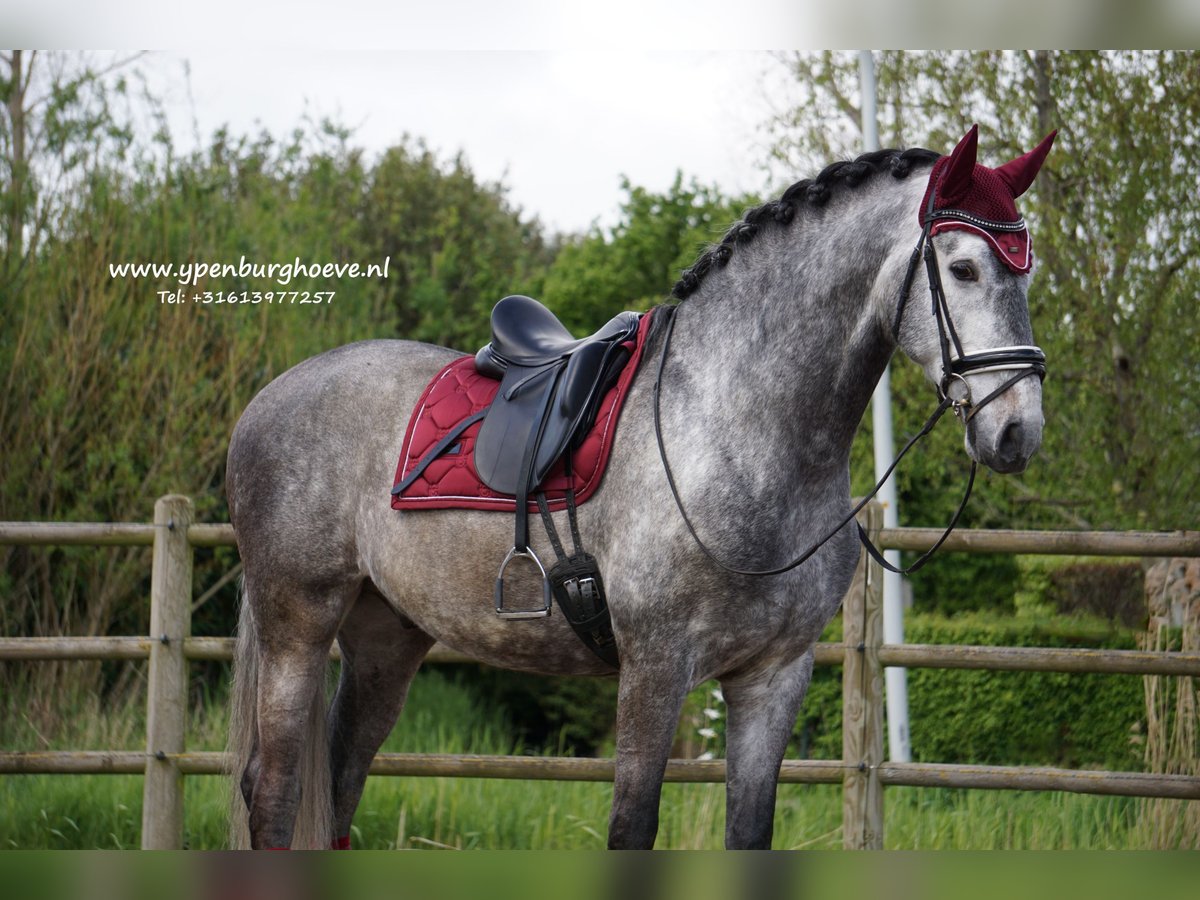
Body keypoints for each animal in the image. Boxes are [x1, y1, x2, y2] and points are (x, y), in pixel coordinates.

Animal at [225, 128, 1051, 854]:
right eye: (965, 269)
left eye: (1026, 271)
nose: (1017, 429)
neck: (732, 427)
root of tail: (267, 399)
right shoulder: (656, 668)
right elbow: (632, 829)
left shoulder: (773, 678)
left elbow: (750, 833)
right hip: (298, 622)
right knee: (273, 790)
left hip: (385, 637)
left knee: (339, 779)